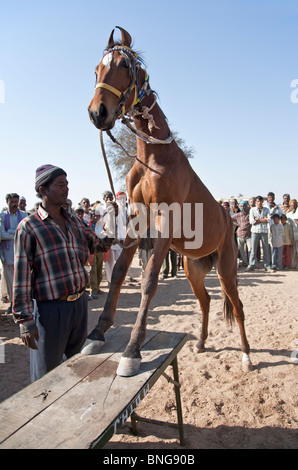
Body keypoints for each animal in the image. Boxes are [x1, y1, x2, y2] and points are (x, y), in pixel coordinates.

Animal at [82, 25, 253, 376]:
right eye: (96, 69)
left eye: (124, 65)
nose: (97, 112)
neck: (154, 157)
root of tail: (227, 217)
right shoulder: (137, 220)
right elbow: (119, 274)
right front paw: (97, 333)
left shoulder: (164, 221)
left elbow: (148, 280)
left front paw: (132, 349)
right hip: (193, 269)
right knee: (206, 301)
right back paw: (200, 342)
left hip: (227, 267)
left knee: (238, 306)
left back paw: (246, 356)